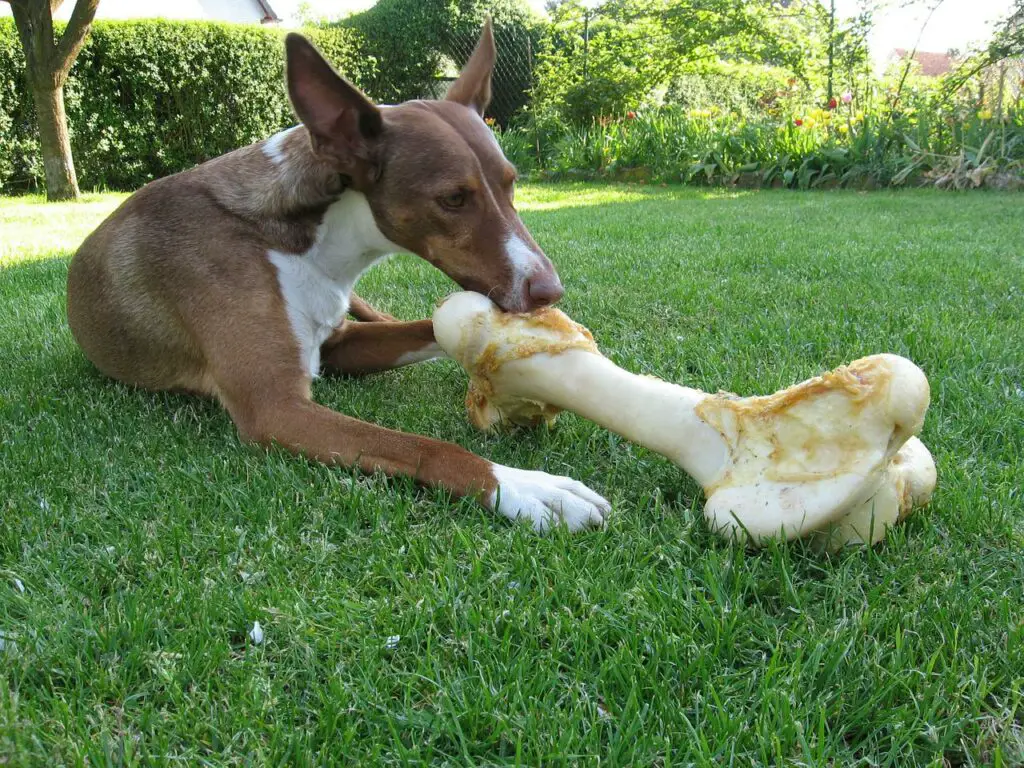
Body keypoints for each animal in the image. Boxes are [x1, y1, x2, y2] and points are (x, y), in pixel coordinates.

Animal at [68, 20, 610, 532]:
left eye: (511, 183)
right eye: (453, 198)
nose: (548, 291)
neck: (308, 242)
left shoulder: (340, 344)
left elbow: (428, 328)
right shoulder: (275, 407)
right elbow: (425, 446)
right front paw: (525, 488)